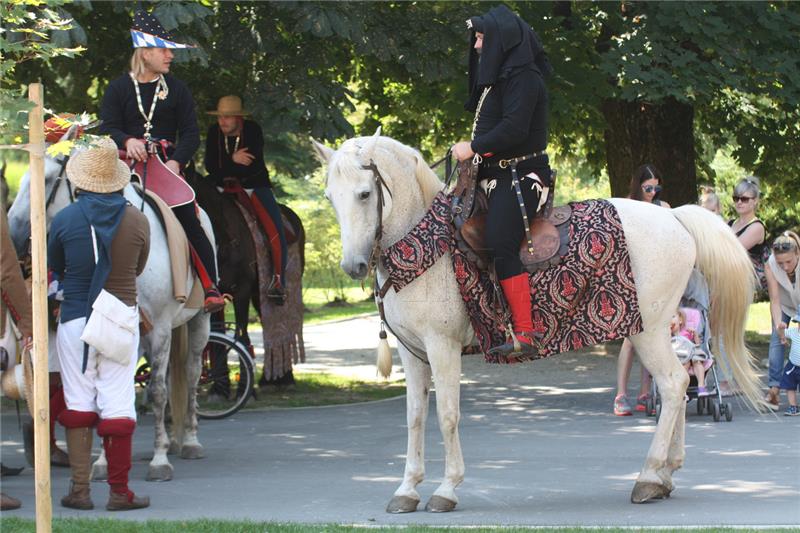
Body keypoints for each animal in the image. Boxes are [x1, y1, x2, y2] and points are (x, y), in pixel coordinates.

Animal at [7, 130, 208, 482]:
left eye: (45, 179)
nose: (15, 234)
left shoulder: (160, 330)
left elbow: (158, 391)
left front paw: (159, 461)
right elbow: (104, 395)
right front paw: (102, 462)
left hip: (200, 321)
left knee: (192, 373)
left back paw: (189, 441)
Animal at [312, 132, 764, 512]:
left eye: (365, 193)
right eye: (331, 197)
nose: (352, 267)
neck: (425, 245)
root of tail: (675, 218)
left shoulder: (443, 348)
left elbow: (448, 415)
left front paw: (446, 488)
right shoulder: (413, 352)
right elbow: (415, 417)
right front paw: (407, 489)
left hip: (647, 330)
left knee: (672, 385)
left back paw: (650, 477)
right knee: (682, 384)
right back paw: (667, 474)